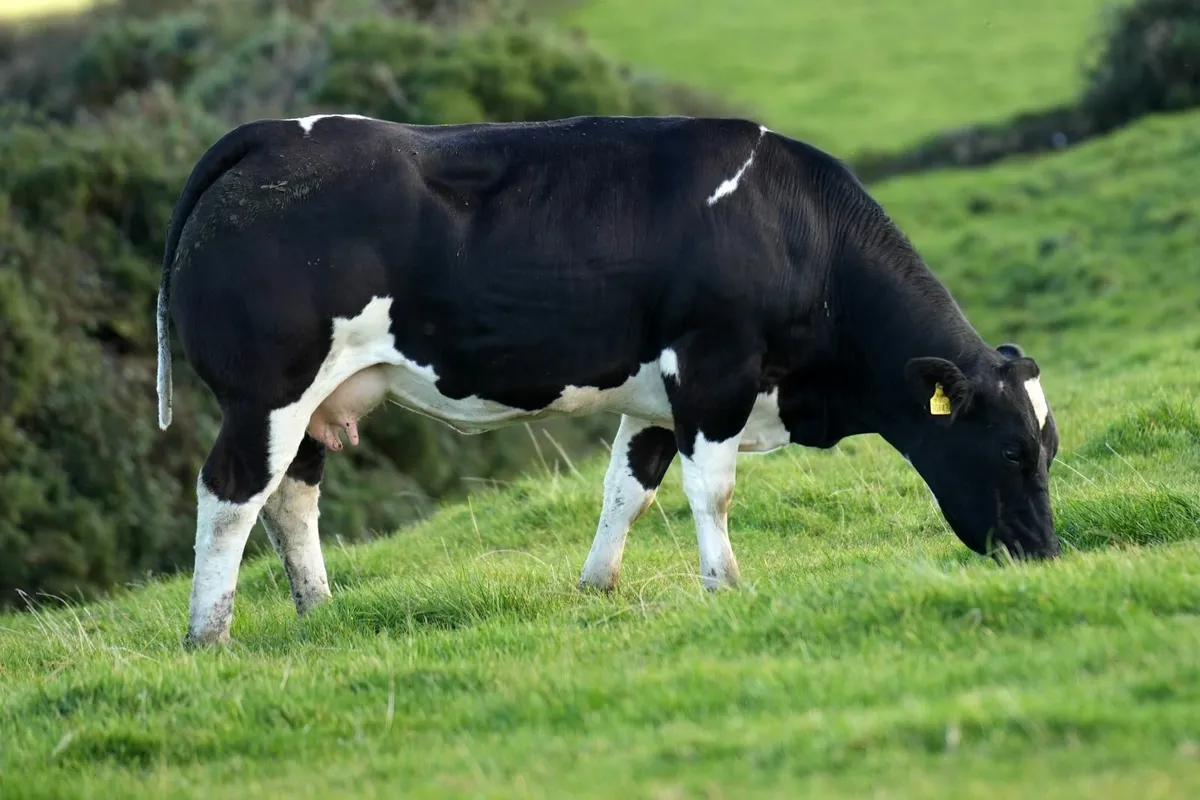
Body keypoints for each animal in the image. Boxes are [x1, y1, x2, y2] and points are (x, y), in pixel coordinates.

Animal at [155, 113, 1061, 647]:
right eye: (1012, 452)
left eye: (1049, 449)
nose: (1046, 553)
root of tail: (277, 134)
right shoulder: (714, 369)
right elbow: (711, 490)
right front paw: (726, 584)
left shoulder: (657, 395)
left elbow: (630, 488)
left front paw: (597, 587)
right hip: (266, 391)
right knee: (232, 494)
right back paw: (209, 634)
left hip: (313, 401)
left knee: (292, 498)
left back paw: (319, 610)